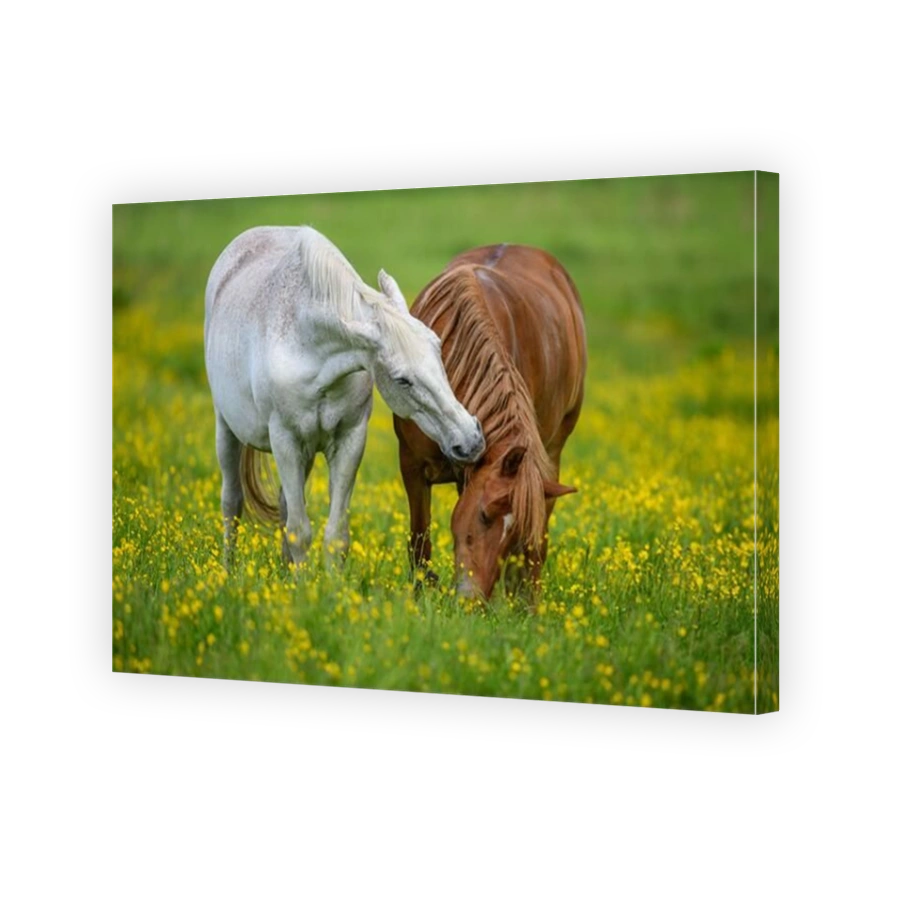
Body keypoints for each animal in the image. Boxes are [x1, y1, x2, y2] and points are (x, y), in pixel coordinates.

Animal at [204, 225, 485, 569]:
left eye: (438, 348)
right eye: (402, 380)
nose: (471, 440)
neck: (309, 351)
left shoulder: (349, 440)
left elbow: (335, 535)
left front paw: (329, 583)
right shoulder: (285, 441)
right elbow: (300, 531)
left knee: (283, 505)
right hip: (227, 429)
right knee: (232, 503)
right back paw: (228, 571)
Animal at [393, 243, 586, 603]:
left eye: (513, 534)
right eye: (484, 515)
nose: (472, 599)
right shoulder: (413, 464)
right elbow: (419, 541)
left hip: (551, 458)